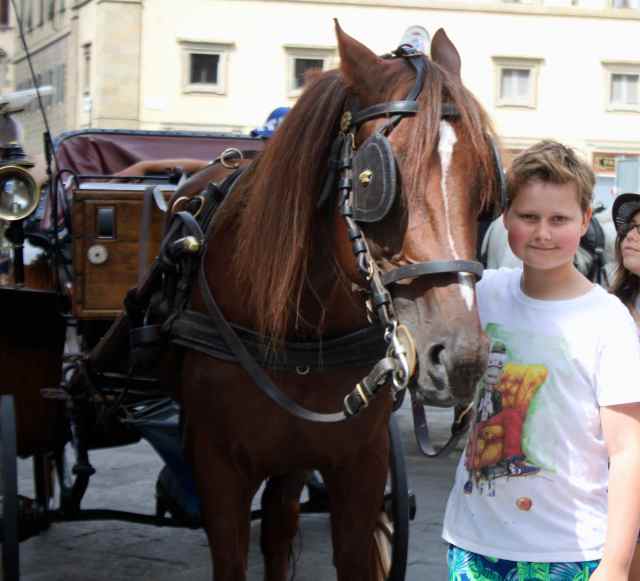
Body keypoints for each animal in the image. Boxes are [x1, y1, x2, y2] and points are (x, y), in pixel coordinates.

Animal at [167, 22, 501, 581]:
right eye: (374, 180)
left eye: (484, 185)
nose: (462, 359)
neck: (296, 330)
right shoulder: (217, 469)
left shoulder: (359, 465)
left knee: (279, 526)